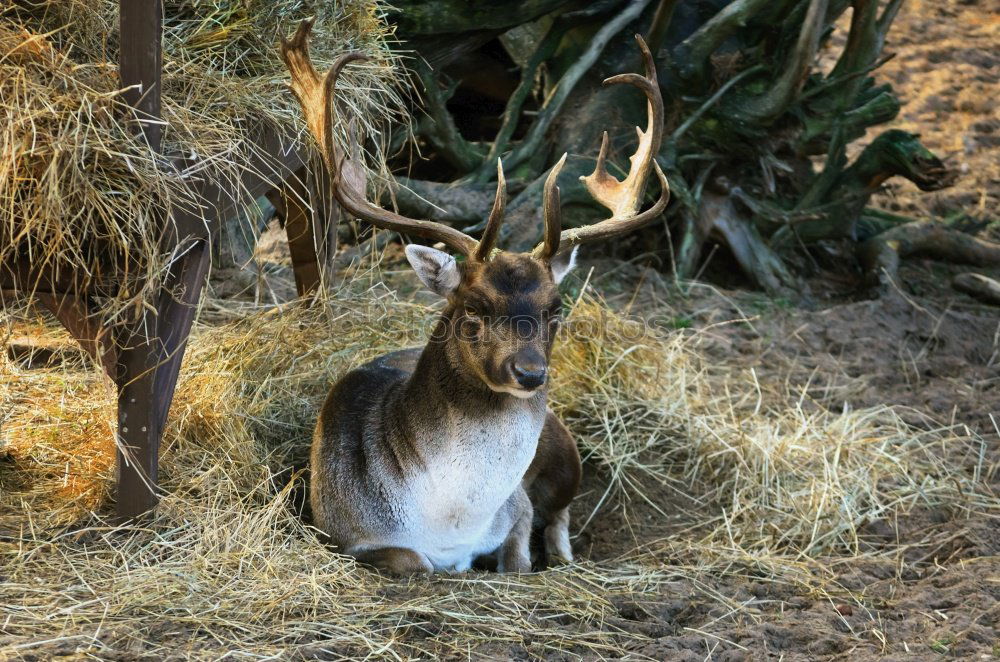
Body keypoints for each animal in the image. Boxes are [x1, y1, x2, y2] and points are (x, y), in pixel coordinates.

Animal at [278, 20, 668, 576]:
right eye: (473, 308)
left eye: (556, 308)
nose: (530, 372)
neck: (449, 522)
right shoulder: (344, 529)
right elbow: (414, 562)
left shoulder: (516, 506)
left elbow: (520, 555)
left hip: (565, 453)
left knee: (563, 510)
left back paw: (565, 555)